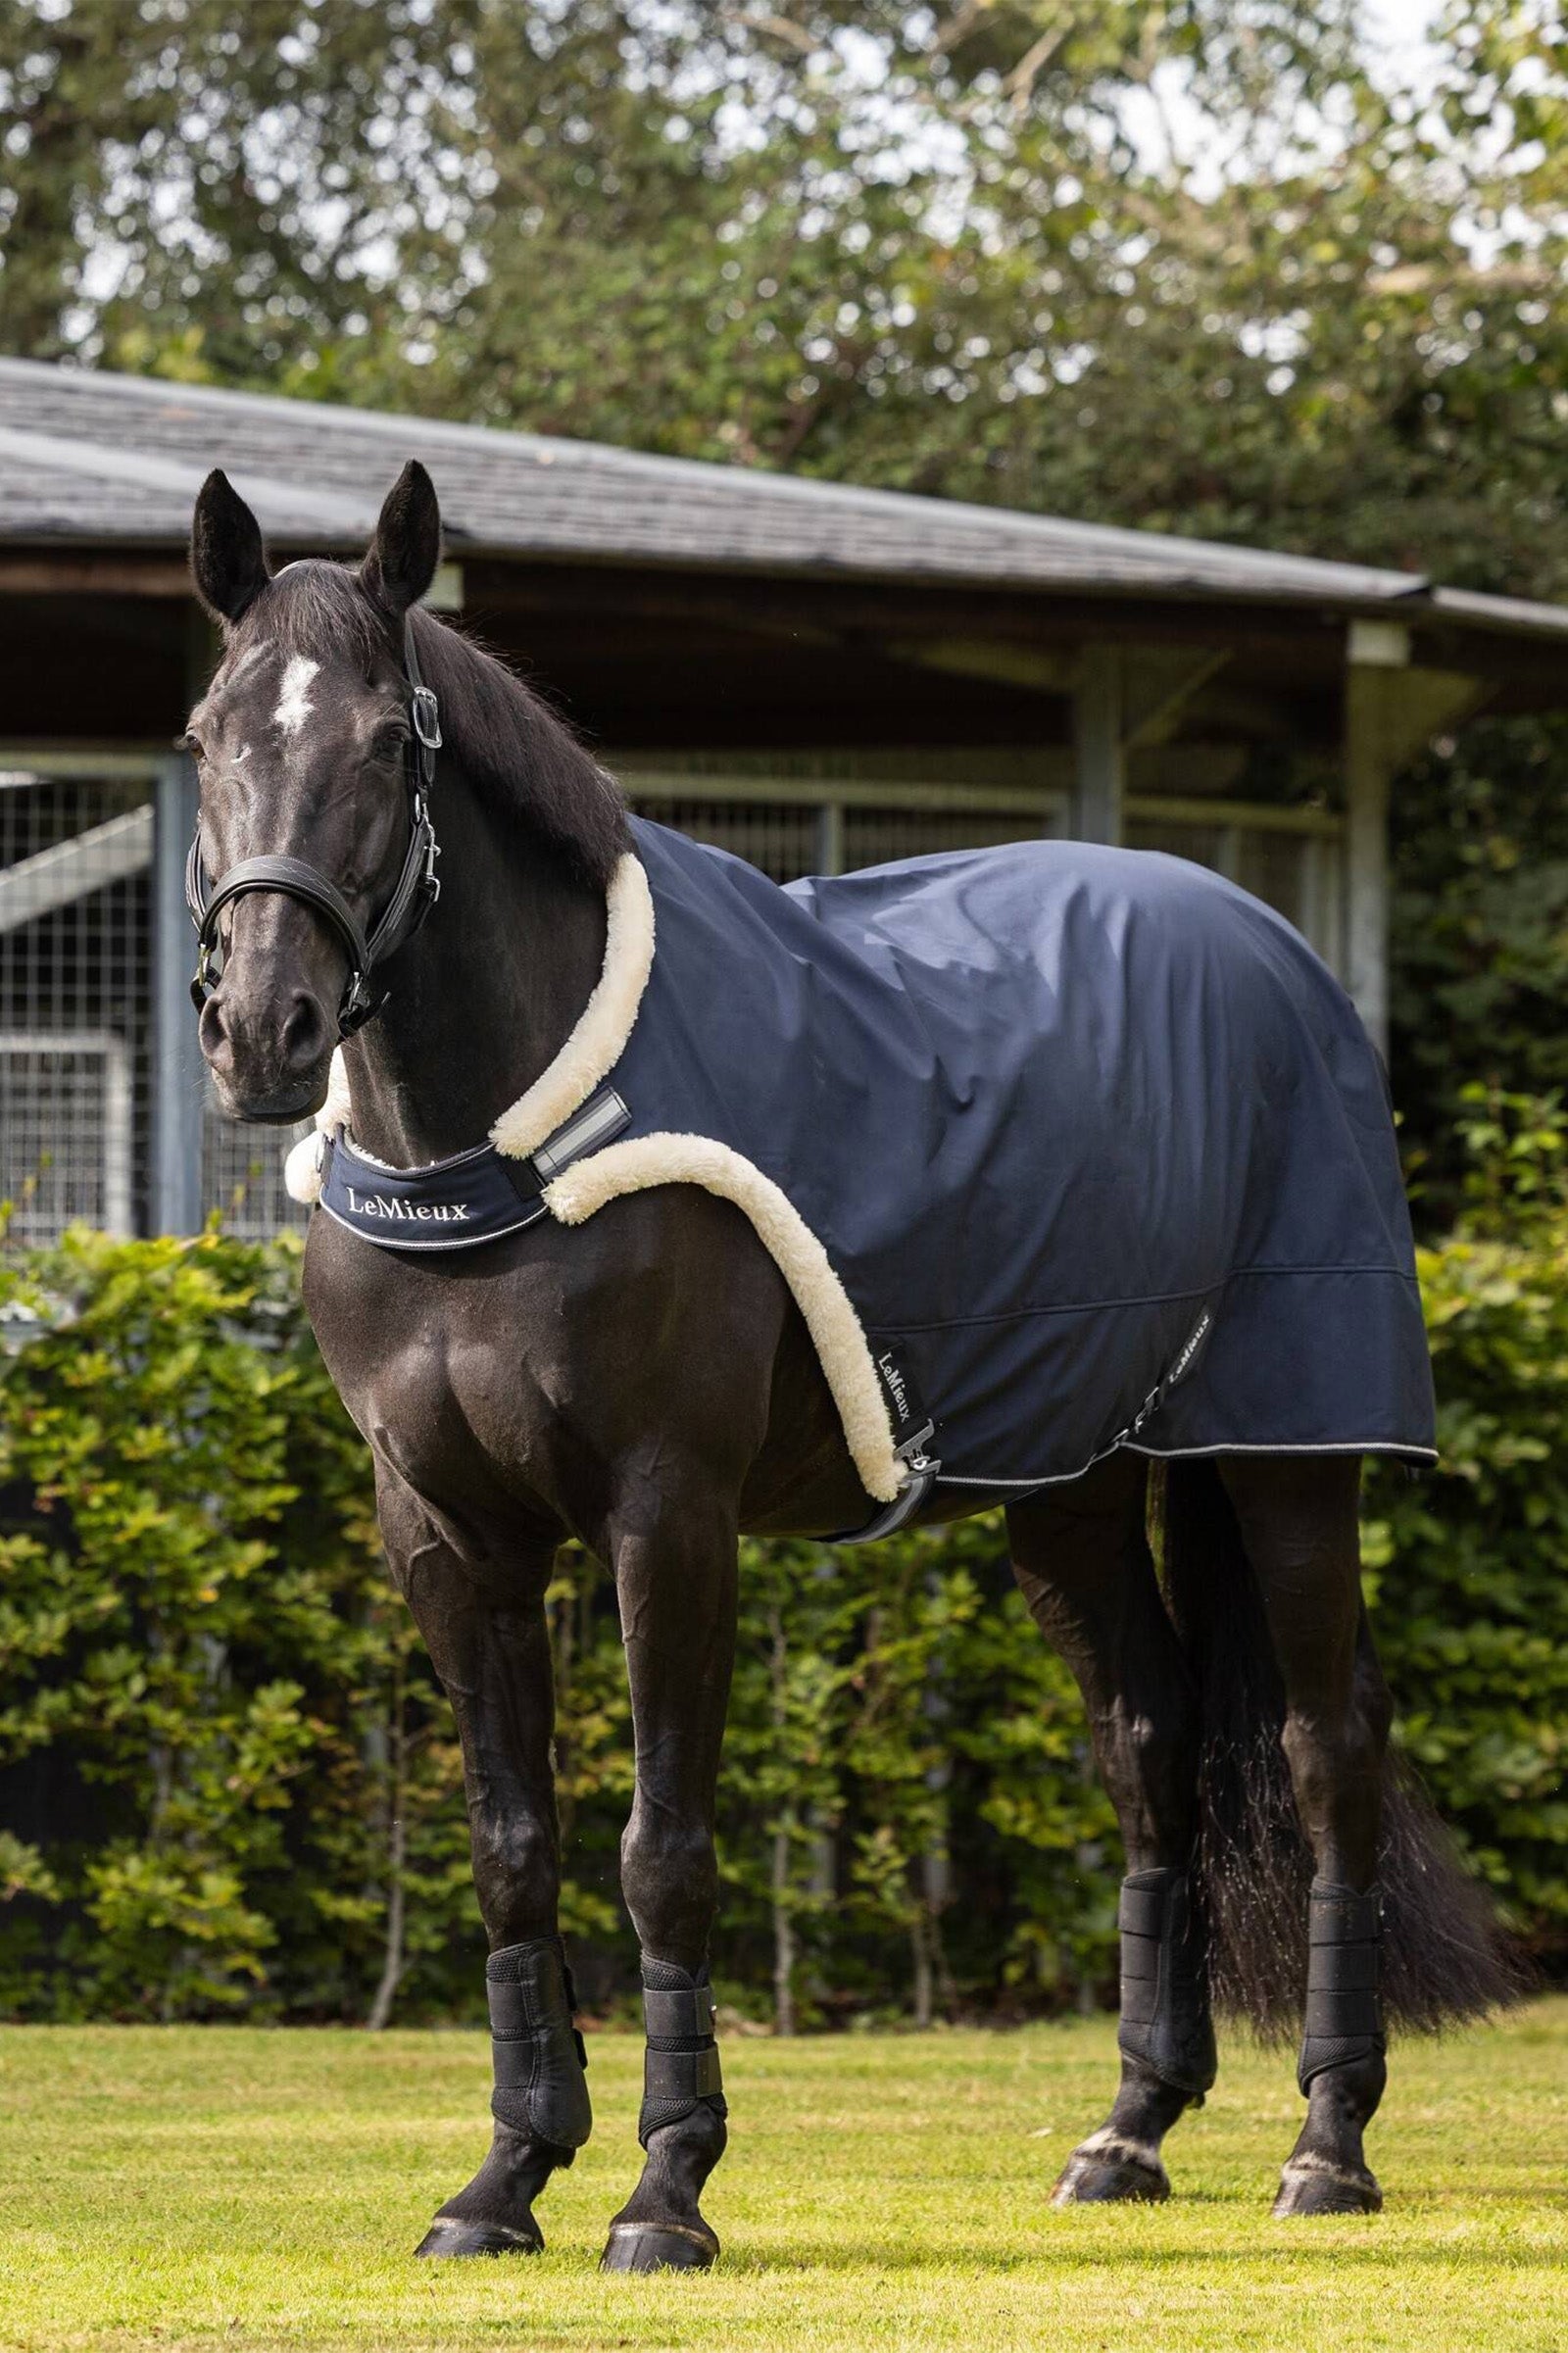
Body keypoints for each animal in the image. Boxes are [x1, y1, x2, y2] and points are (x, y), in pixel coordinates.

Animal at [182, 459, 1512, 2272]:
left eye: (391, 742)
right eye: (202, 735)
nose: (264, 1030)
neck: (504, 1158)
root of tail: (1267, 945)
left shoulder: (667, 1517)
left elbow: (663, 1850)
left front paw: (665, 2191)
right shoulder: (446, 1535)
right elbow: (514, 1850)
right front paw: (505, 2179)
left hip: (1285, 1455)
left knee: (1325, 1750)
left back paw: (1327, 2143)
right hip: (1071, 1486)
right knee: (1152, 1744)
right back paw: (1130, 2129)